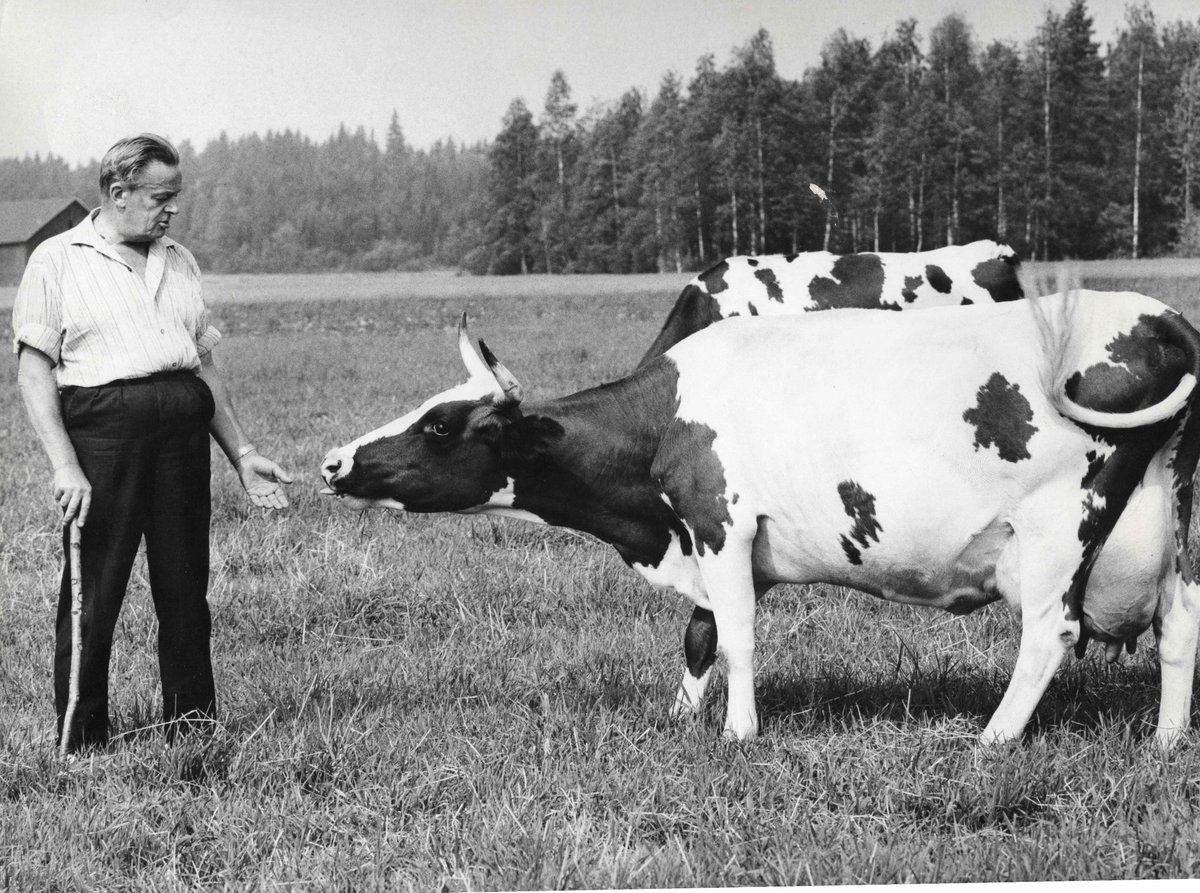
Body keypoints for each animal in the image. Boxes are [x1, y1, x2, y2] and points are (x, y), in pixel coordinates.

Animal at [321, 296, 1200, 748]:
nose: (332, 461)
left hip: (1059, 526)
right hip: (1178, 530)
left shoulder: (722, 520)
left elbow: (736, 637)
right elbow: (701, 632)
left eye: (441, 426)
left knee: (1049, 635)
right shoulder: (716, 542)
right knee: (1179, 631)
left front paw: (738, 733)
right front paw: (679, 718)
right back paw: (1164, 744)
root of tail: (1155, 314)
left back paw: (993, 739)